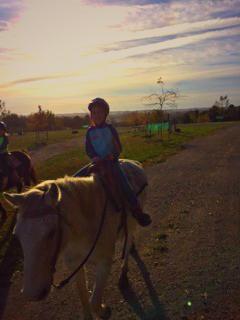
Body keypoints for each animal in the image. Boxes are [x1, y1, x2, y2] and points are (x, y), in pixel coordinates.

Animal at [3, 160, 148, 320]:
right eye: (17, 235)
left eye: (52, 232)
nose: (31, 294)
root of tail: (132, 162)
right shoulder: (74, 264)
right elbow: (83, 296)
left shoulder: (105, 262)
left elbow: (94, 302)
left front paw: (103, 310)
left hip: (133, 222)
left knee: (128, 244)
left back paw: (123, 275)